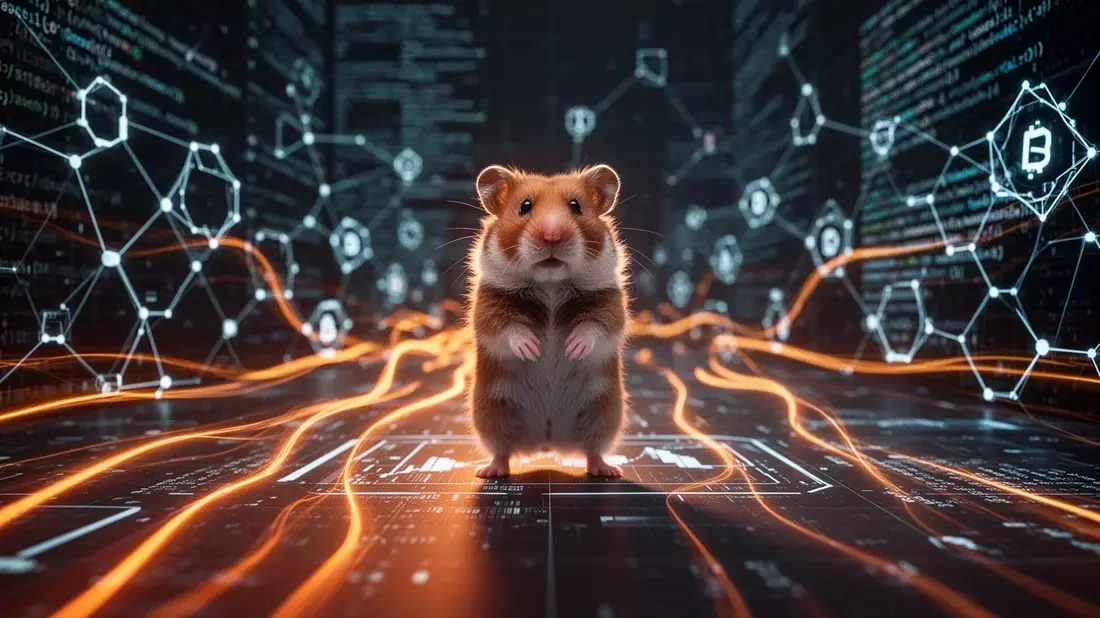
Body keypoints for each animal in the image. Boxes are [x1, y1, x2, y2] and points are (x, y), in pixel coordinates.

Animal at [466, 164, 630, 478]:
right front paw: (532, 349)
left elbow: (597, 325)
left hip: (605, 412)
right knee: (501, 450)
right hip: (491, 412)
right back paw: (489, 471)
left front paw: (572, 347)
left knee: (593, 449)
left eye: (576, 206)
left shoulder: (611, 303)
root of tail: (548, 443)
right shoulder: (487, 306)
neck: (550, 284)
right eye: (524, 206)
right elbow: (505, 326)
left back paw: (608, 470)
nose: (552, 236)